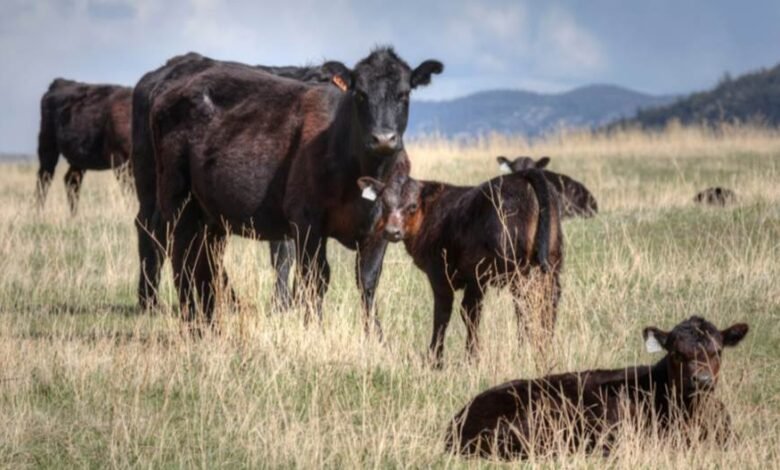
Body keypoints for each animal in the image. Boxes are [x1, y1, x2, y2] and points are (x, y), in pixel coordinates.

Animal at [37, 78, 132, 214]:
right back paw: (38, 213)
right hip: (47, 144)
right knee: (44, 179)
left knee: (71, 180)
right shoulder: (120, 160)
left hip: (79, 158)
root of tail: (59, 82)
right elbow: (130, 190)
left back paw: (74, 216)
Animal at [357, 168, 563, 366]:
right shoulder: (476, 279)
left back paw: (526, 351)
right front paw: (470, 357)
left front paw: (436, 359)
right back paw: (544, 348)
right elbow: (471, 313)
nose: (392, 232)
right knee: (548, 302)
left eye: (412, 206)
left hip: (518, 269)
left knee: (527, 304)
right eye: (384, 204)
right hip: (551, 263)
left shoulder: (440, 274)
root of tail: (522, 174)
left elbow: (443, 314)